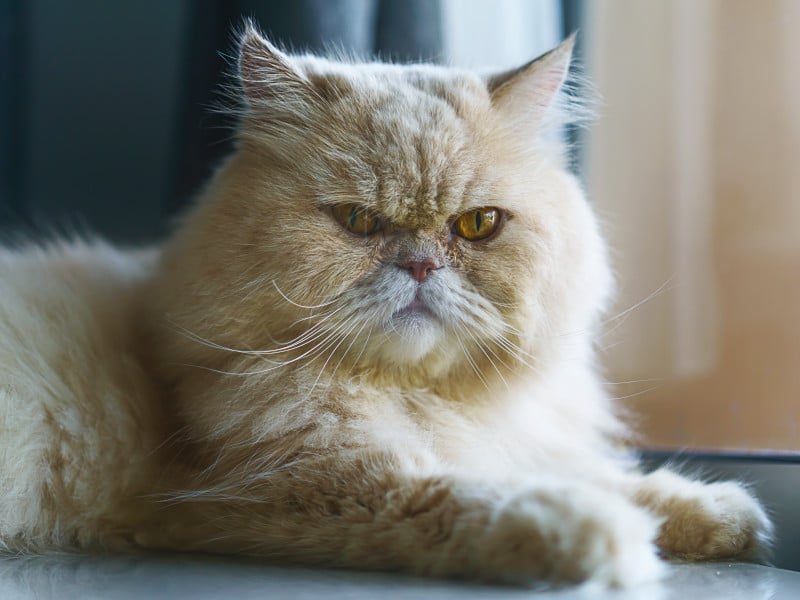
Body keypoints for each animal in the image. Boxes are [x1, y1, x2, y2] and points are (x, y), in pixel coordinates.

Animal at [1, 23, 776, 592]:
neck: (415, 397)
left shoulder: (509, 439)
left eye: (476, 226)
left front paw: (723, 516)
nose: (420, 266)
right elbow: (482, 497)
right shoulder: (296, 485)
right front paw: (603, 536)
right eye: (358, 222)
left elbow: (601, 475)